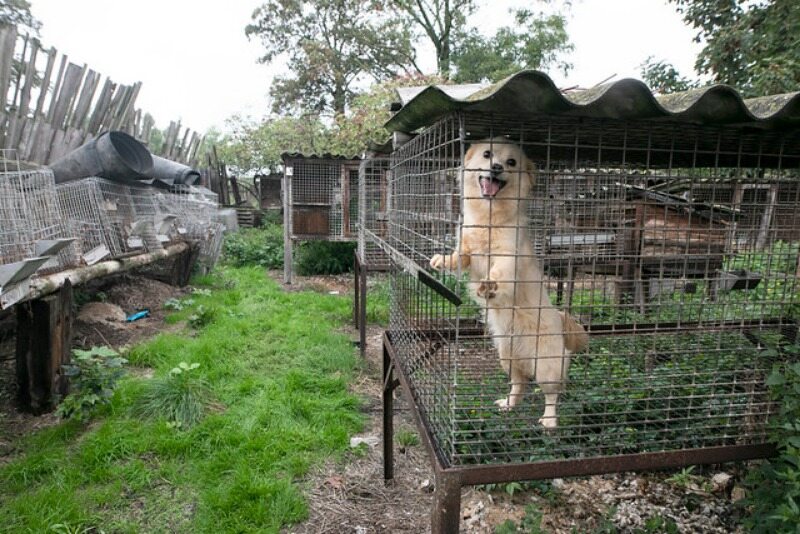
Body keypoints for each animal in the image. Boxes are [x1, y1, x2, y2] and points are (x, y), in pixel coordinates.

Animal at [432, 138, 588, 432]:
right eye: (487, 154)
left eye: (511, 162)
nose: (496, 167)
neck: (489, 217)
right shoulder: (469, 252)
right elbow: (459, 256)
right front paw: (442, 260)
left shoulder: (508, 256)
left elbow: (499, 273)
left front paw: (489, 286)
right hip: (507, 357)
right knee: (520, 384)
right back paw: (508, 405)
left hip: (547, 366)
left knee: (552, 394)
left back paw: (549, 421)